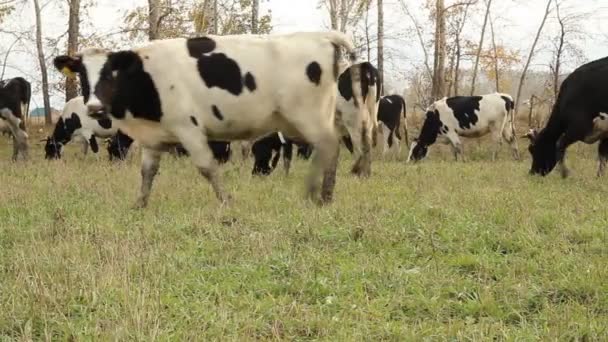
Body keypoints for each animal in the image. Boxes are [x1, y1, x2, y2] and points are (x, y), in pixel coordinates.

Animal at [54, 31, 358, 206]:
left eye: (111, 73)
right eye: (82, 75)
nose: (94, 108)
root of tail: (319, 36)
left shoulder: (188, 129)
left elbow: (207, 167)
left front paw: (226, 201)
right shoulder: (153, 137)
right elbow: (147, 172)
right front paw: (139, 204)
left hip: (308, 115)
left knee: (329, 146)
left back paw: (319, 195)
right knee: (331, 149)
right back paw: (323, 194)